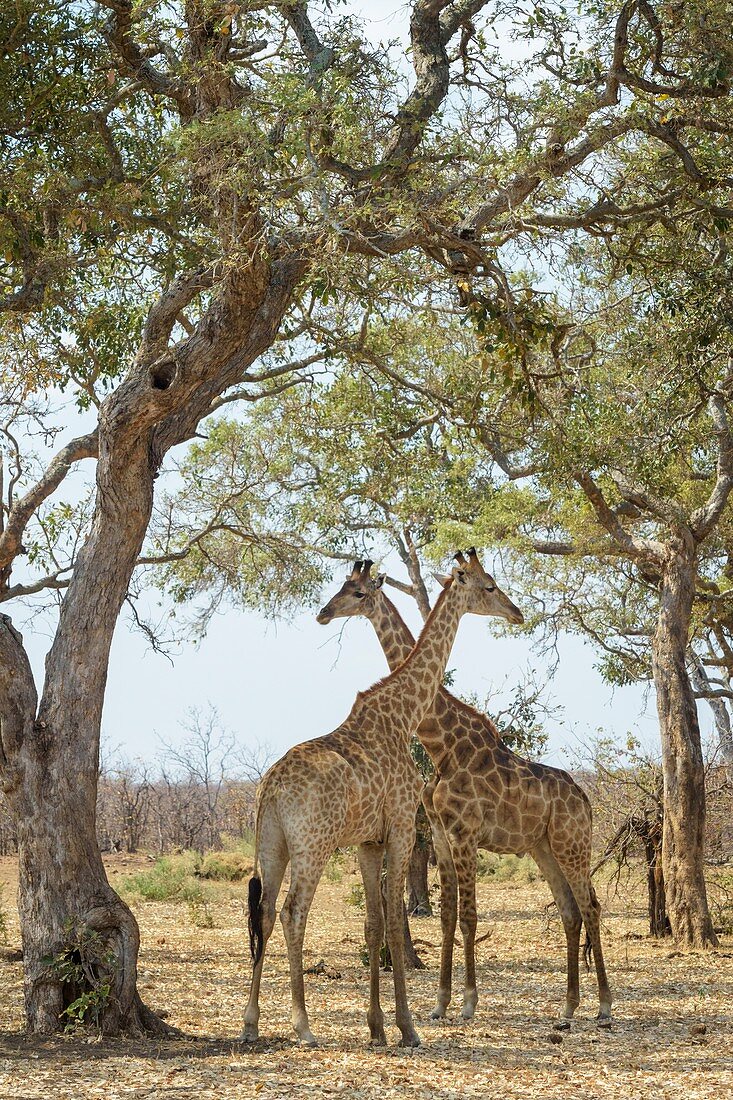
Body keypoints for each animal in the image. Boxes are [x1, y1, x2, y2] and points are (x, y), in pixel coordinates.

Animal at [241, 550, 519, 1047]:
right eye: (489, 585)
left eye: (354, 589)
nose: (516, 612)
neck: (403, 715)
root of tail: (270, 788)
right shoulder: (403, 826)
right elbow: (393, 919)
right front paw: (406, 1026)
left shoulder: (367, 841)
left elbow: (372, 925)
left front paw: (376, 1027)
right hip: (313, 845)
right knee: (294, 912)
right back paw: (303, 1025)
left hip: (270, 844)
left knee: (266, 912)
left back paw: (251, 1023)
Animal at [316, 554, 607, 1025]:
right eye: (342, 587)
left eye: (358, 592)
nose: (324, 613)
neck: (442, 745)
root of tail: (585, 799)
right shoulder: (440, 832)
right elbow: (448, 916)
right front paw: (440, 1003)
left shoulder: (465, 833)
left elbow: (469, 916)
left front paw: (469, 1002)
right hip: (544, 848)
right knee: (569, 910)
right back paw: (568, 1006)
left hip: (572, 844)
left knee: (591, 907)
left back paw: (604, 1006)